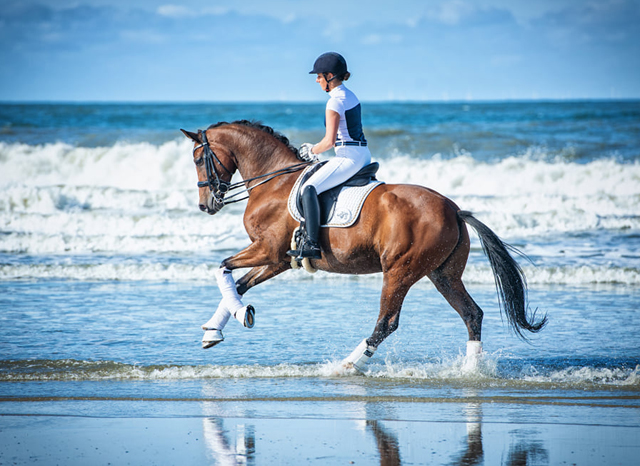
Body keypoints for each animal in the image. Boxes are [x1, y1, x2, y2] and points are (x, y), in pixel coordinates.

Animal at [180, 120, 544, 372]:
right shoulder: (279, 260)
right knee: (471, 313)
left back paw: (350, 363)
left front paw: (235, 316)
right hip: (443, 274)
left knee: (387, 322)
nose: (205, 205)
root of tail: (453, 209)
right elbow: (239, 283)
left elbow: (222, 267)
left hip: (399, 271)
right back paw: (471, 370)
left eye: (198, 159)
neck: (274, 181)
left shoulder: (267, 250)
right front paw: (216, 329)